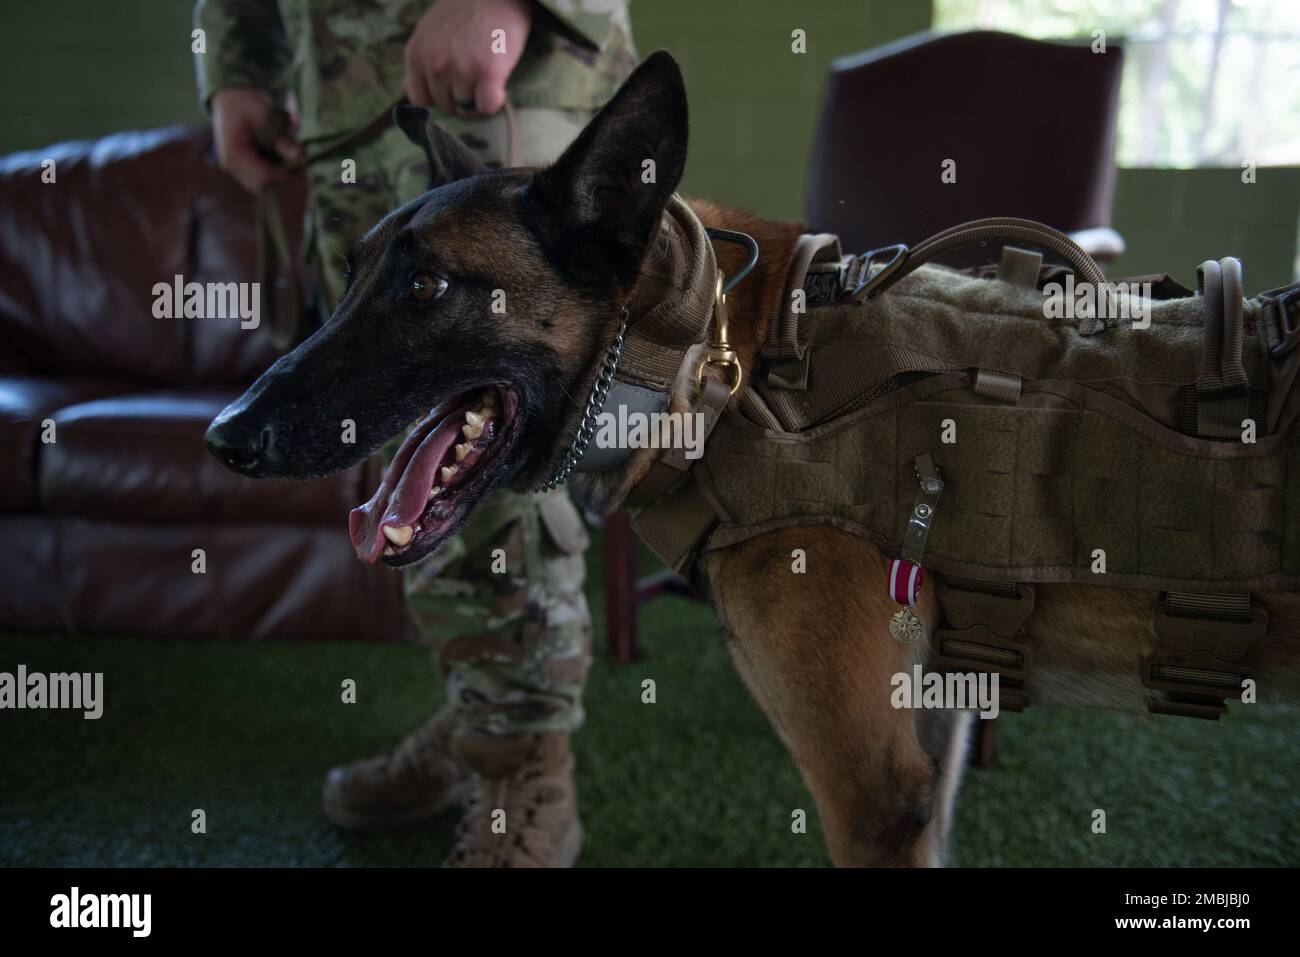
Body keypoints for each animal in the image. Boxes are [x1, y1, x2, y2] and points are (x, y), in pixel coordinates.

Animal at [205, 52, 1300, 868]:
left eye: (427, 286)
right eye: (349, 277)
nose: (225, 435)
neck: (711, 362)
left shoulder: (872, 791)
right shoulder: (928, 745)